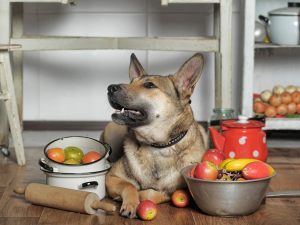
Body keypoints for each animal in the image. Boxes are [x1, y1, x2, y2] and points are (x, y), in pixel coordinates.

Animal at [102, 52, 207, 218]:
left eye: (149, 85)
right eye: (131, 82)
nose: (110, 88)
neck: (157, 146)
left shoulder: (181, 189)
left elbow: (152, 193)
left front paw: (141, 196)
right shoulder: (112, 177)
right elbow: (129, 186)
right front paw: (130, 203)